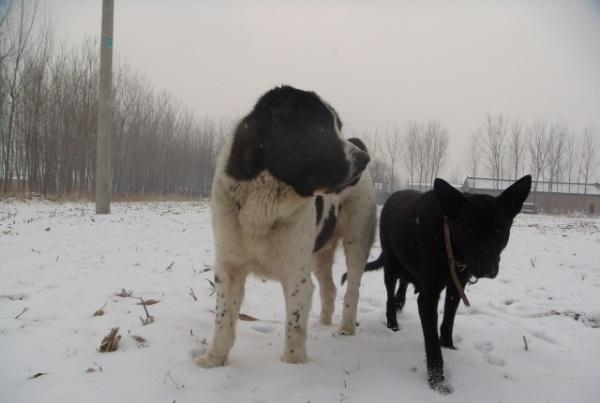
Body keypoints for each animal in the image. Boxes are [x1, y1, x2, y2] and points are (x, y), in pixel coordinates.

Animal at [197, 86, 376, 370]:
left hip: (357, 240)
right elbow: (223, 318)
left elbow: (295, 323)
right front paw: (213, 359)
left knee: (353, 288)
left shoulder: (296, 275)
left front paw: (294, 366)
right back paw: (323, 325)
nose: (364, 159)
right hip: (319, 256)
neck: (263, 204)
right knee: (329, 288)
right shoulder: (229, 267)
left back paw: (346, 329)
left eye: (338, 127)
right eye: (321, 129)